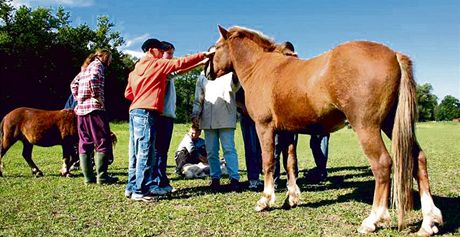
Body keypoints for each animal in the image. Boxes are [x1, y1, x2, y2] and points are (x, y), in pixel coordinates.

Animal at [207, 25, 444, 236]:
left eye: (215, 48)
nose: (207, 72)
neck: (262, 68)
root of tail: (394, 55)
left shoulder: (264, 127)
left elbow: (268, 163)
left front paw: (265, 201)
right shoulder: (288, 131)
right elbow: (290, 163)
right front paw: (292, 198)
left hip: (366, 127)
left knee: (382, 164)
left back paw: (372, 220)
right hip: (390, 124)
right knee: (418, 160)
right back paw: (428, 222)